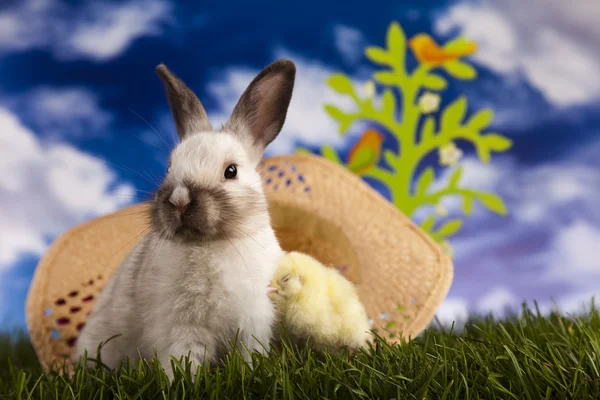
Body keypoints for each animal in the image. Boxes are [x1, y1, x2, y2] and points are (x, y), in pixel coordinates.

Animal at [74, 57, 296, 380]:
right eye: (168, 167)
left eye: (231, 171)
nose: (179, 200)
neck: (209, 245)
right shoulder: (182, 329)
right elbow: (183, 362)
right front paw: (180, 383)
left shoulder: (253, 322)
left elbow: (248, 357)